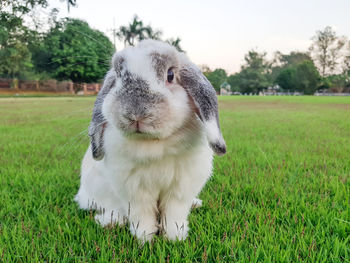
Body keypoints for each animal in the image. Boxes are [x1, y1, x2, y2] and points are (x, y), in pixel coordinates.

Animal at [75, 39, 226, 243]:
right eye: (119, 76)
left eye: (170, 75)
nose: (135, 113)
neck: (153, 143)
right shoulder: (134, 190)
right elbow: (142, 215)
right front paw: (144, 239)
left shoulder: (180, 187)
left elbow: (174, 213)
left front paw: (175, 237)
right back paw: (110, 222)